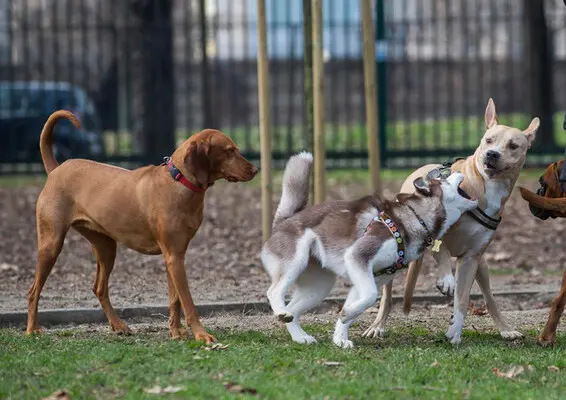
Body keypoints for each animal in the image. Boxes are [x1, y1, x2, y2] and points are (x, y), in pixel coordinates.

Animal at [26, 109, 258, 344]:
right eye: (230, 151)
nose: (256, 170)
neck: (179, 182)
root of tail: (56, 169)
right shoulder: (174, 257)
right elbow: (188, 302)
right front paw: (201, 335)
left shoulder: (174, 256)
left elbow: (175, 299)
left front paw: (176, 331)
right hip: (51, 244)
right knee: (33, 291)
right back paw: (31, 330)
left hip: (106, 247)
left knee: (99, 288)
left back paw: (118, 326)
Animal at [262, 152, 480, 348]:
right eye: (443, 179)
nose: (458, 168)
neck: (415, 218)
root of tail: (284, 221)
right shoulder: (358, 256)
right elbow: (370, 297)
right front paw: (346, 317)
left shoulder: (374, 275)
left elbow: (356, 305)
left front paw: (340, 336)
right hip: (295, 262)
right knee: (274, 292)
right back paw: (281, 312)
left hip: (319, 287)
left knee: (294, 310)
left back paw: (300, 336)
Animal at [364, 97, 540, 344]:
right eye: (489, 140)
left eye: (513, 146)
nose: (492, 154)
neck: (483, 187)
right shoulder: (436, 235)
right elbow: (443, 251)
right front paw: (446, 279)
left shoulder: (470, 258)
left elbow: (462, 300)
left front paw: (455, 331)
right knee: (388, 295)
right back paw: (377, 326)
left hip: (482, 266)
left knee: (489, 298)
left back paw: (505, 328)